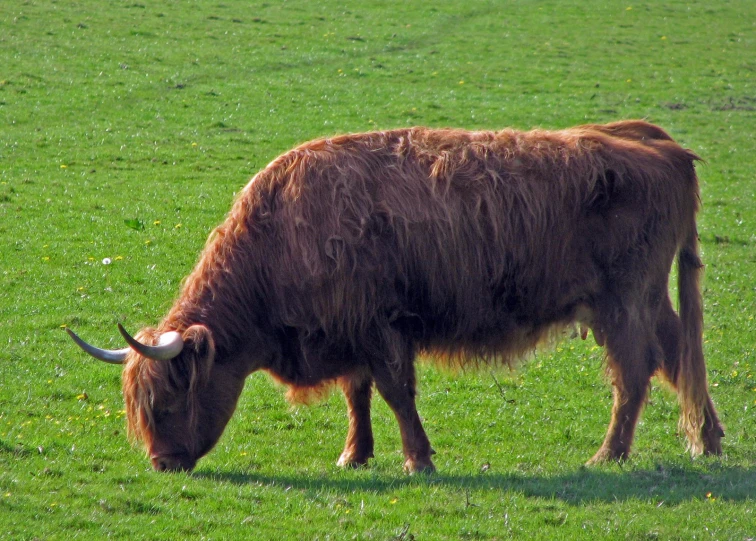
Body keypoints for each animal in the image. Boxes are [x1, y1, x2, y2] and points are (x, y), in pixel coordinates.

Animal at [71, 120, 728, 470]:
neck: (280, 235)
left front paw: (418, 458)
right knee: (679, 356)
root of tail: (654, 140)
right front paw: (354, 455)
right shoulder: (347, 330)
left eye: (168, 401)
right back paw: (709, 439)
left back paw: (609, 455)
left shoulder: (379, 327)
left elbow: (394, 393)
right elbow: (357, 394)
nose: (163, 463)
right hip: (648, 299)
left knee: (635, 370)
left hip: (624, 300)